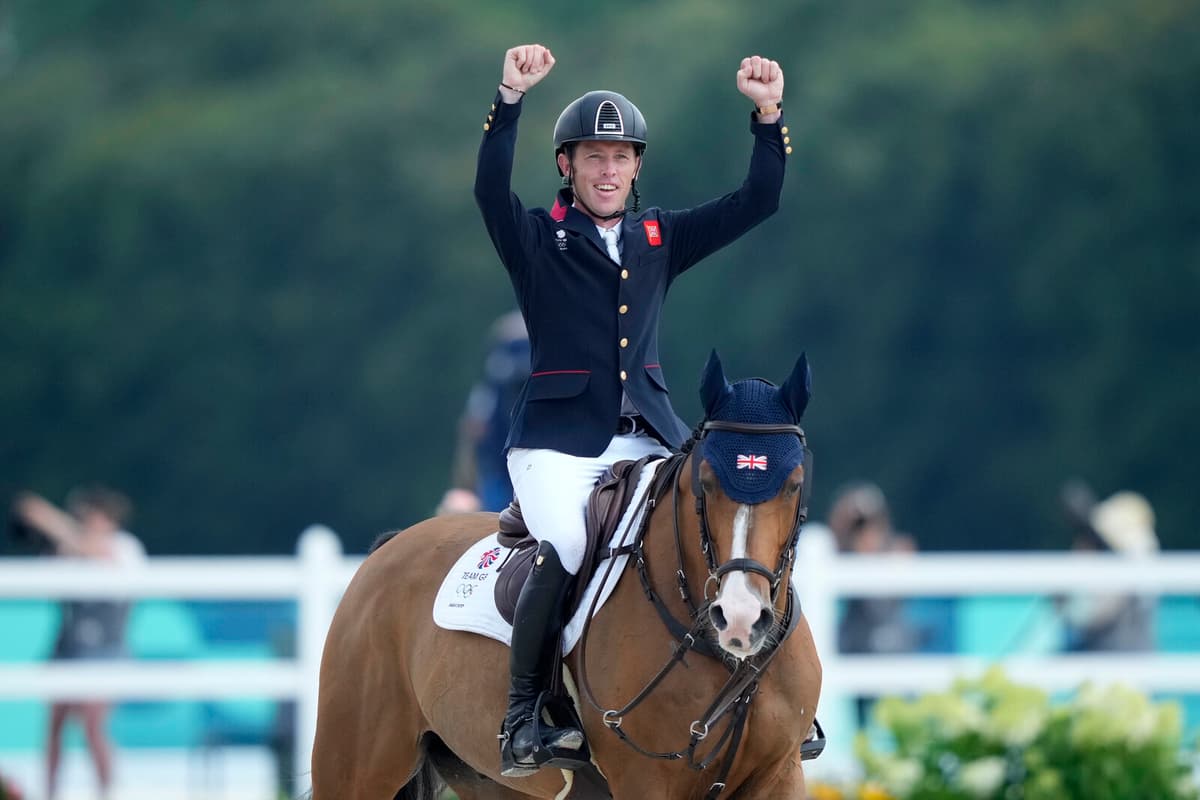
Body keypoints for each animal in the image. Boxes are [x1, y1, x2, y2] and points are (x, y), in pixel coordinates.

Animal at [310, 351, 823, 799]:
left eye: (794, 484)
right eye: (707, 484)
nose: (740, 619)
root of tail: (388, 548)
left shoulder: (779, 773)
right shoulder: (645, 781)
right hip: (355, 767)